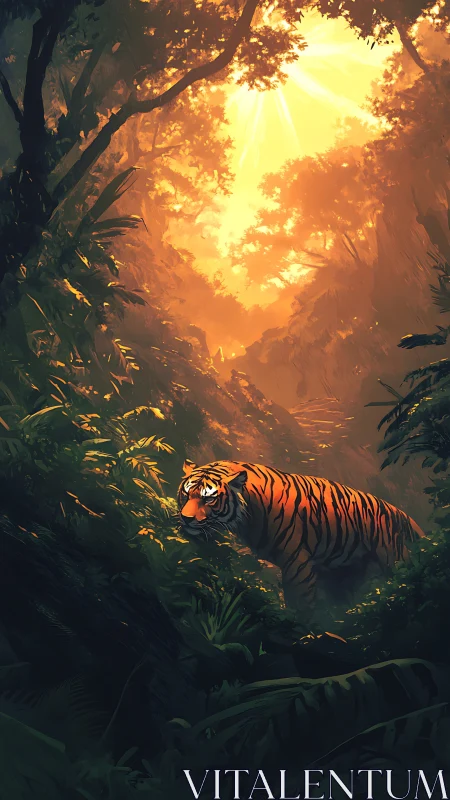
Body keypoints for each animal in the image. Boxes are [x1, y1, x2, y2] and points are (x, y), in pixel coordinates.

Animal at [177, 459, 425, 610]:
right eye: (186, 493)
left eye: (209, 498)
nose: (186, 519)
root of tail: (413, 522)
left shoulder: (297, 561)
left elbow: (301, 605)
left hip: (395, 562)